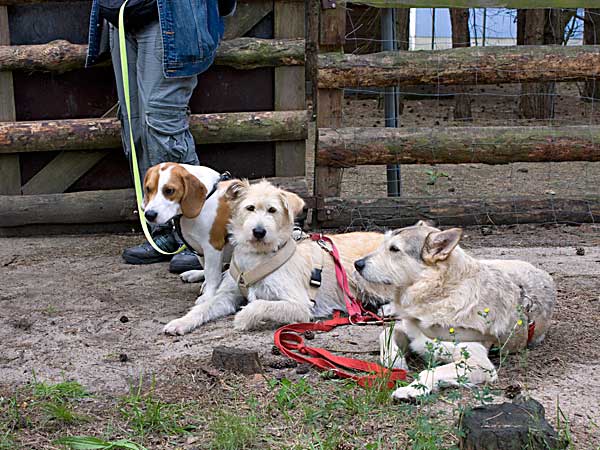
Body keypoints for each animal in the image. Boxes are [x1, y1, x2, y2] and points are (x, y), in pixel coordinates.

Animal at [162, 179, 394, 334]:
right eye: (250, 208)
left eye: (272, 210)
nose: (259, 231)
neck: (257, 257)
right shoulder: (227, 295)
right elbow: (204, 307)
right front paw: (181, 322)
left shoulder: (301, 305)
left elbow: (259, 304)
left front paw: (243, 318)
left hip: (362, 275)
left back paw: (388, 309)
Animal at [354, 221, 556, 400]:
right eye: (384, 244)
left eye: (394, 249)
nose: (357, 264)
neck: (439, 294)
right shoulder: (407, 326)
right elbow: (385, 335)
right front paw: (395, 361)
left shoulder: (478, 363)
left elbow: (430, 370)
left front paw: (412, 390)